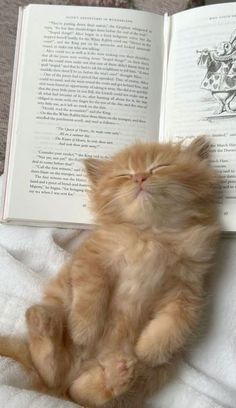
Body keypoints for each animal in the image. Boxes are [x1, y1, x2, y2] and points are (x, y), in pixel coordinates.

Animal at [0, 138, 220, 408]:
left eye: (159, 167)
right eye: (124, 175)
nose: (140, 177)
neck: (151, 234)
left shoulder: (189, 288)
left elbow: (177, 321)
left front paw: (150, 348)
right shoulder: (92, 259)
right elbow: (91, 292)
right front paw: (84, 329)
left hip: (150, 374)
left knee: (80, 393)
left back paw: (115, 376)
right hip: (60, 309)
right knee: (50, 372)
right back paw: (42, 324)